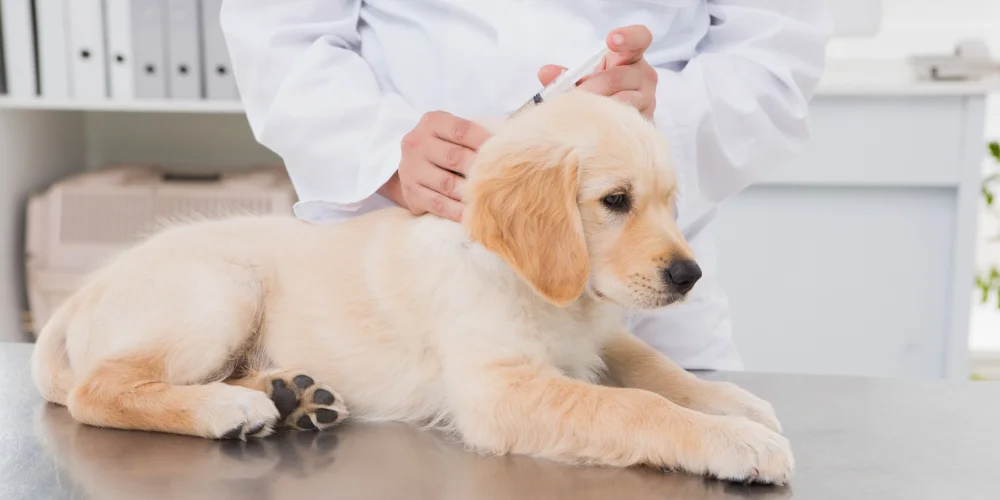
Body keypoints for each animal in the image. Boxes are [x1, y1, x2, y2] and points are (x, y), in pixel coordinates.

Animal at [31, 89, 792, 484]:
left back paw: (290, 396)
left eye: (669, 201)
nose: (688, 276)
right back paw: (230, 407)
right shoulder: (499, 390)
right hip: (221, 288)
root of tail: (81, 296)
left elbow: (657, 368)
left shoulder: (599, 334)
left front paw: (735, 405)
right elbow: (635, 405)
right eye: (615, 201)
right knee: (102, 388)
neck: (541, 290)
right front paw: (734, 442)